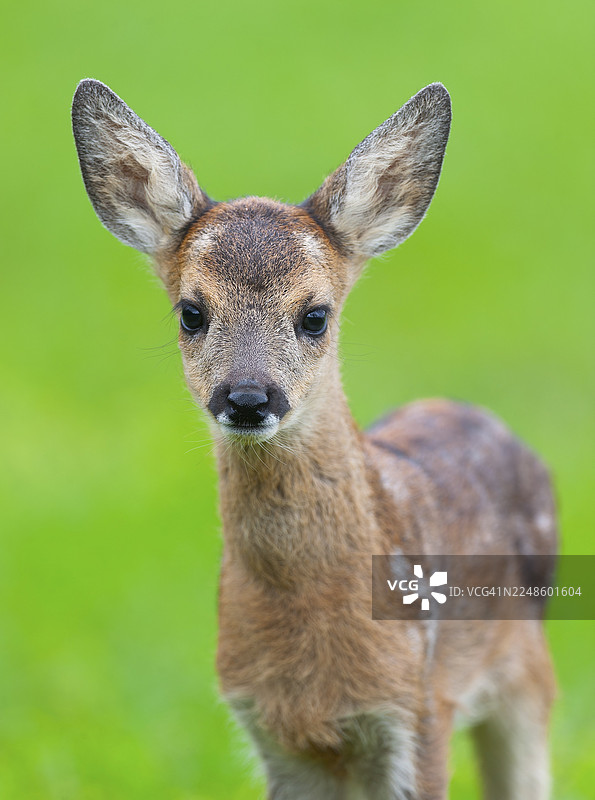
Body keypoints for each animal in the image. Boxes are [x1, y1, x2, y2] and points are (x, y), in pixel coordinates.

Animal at [72, 79, 557, 800]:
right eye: (191, 313)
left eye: (315, 315)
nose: (248, 397)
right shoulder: (271, 732)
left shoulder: (418, 709)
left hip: (527, 673)